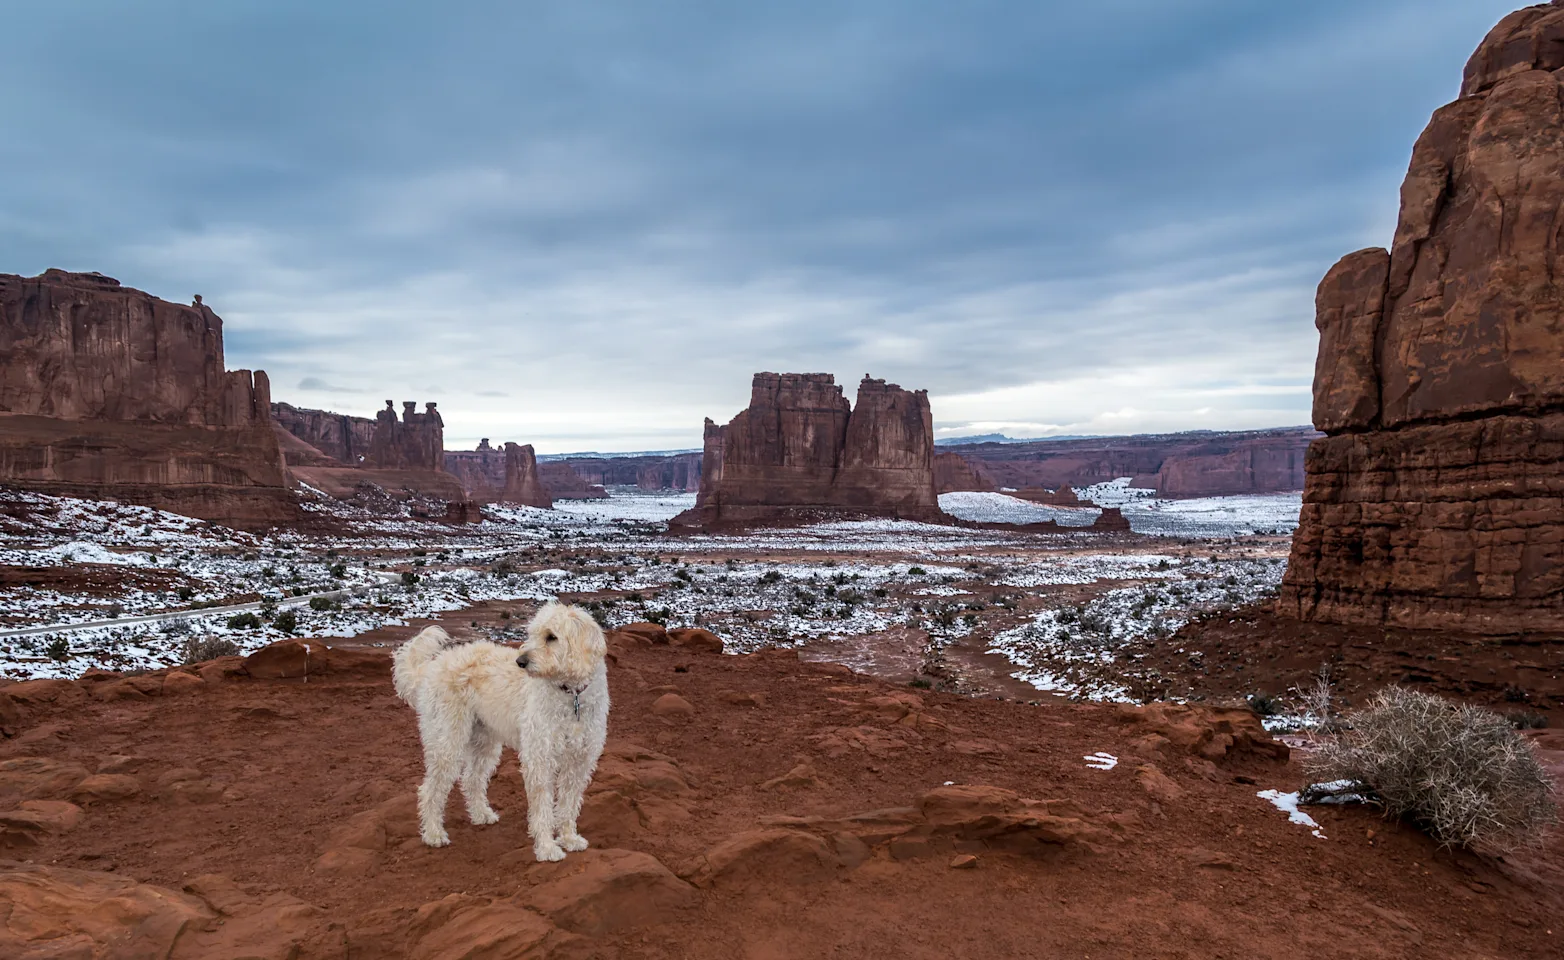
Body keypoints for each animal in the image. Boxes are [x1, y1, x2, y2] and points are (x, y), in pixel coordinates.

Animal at [391, 600, 609, 863]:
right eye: (532, 634)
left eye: (552, 637)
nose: (521, 662)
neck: (571, 695)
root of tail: (432, 666)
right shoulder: (540, 758)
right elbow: (543, 807)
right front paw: (547, 848)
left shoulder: (579, 761)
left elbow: (568, 804)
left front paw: (569, 838)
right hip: (448, 741)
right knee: (430, 790)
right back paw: (433, 834)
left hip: (484, 742)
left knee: (471, 779)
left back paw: (481, 814)